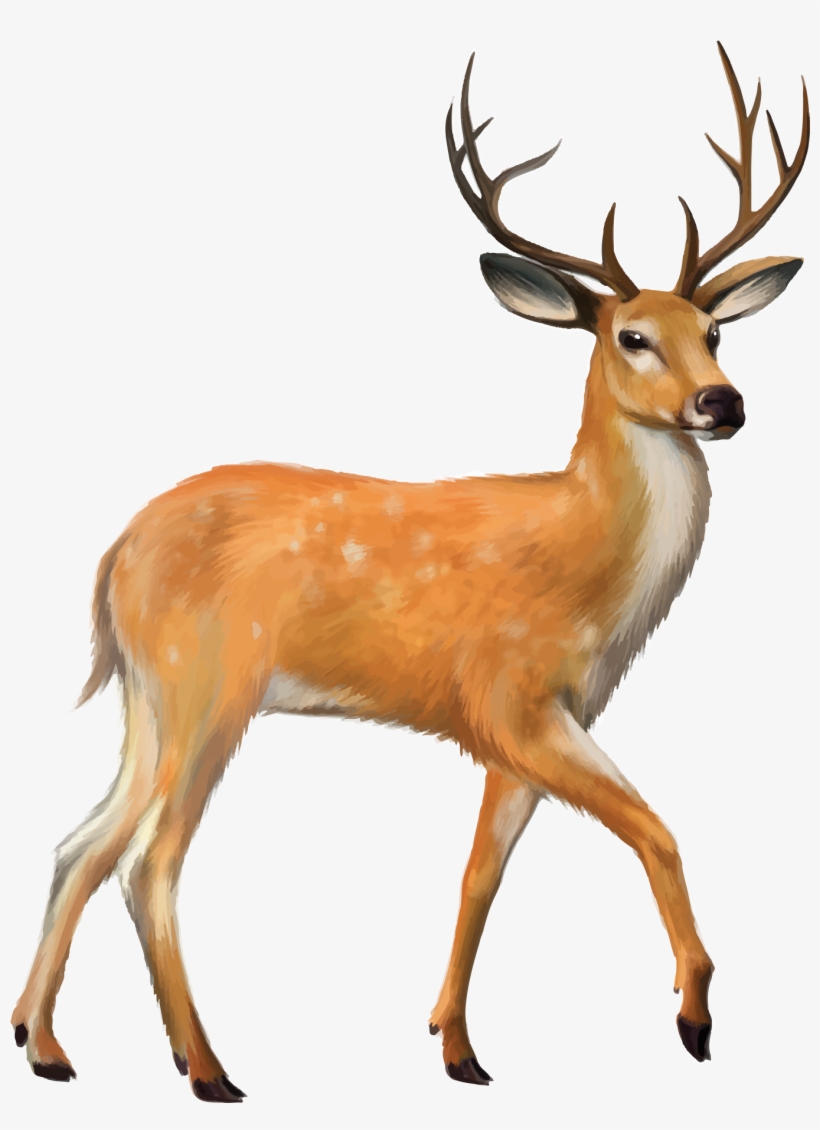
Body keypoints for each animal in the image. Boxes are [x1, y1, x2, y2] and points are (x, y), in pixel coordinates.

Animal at [11, 42, 809, 1102]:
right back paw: (209, 1070)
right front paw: (693, 1018)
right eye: (631, 337)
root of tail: (111, 560)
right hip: (209, 683)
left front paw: (458, 1047)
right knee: (151, 861)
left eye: (715, 334)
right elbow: (656, 828)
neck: (587, 564)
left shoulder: (542, 719)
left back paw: (46, 1046)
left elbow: (480, 873)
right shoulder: (508, 696)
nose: (724, 403)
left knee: (80, 844)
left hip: (148, 695)